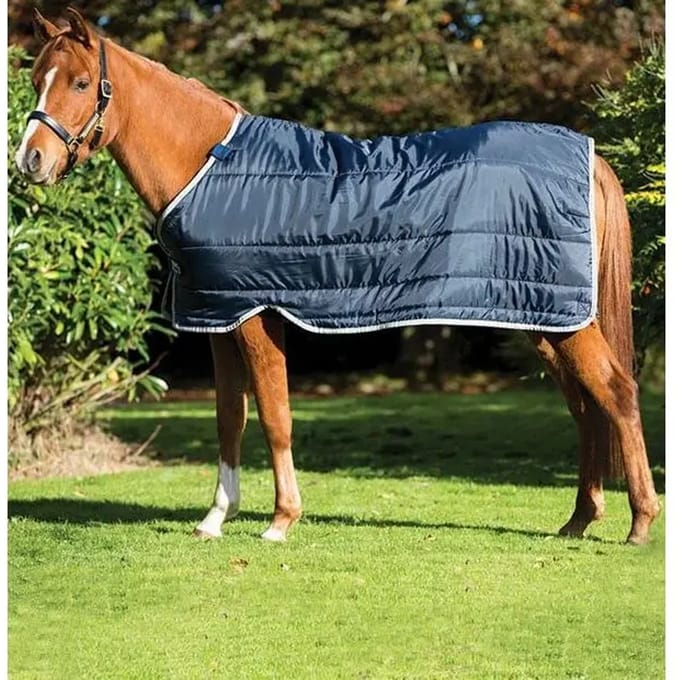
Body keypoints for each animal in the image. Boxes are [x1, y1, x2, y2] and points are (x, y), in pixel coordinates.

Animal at [15, 8, 660, 544]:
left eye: (79, 83)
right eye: (36, 78)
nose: (30, 161)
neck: (209, 166)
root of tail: (589, 157)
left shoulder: (255, 315)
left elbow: (275, 416)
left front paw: (281, 521)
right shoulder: (219, 317)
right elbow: (230, 420)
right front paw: (215, 519)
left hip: (563, 321)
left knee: (618, 394)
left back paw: (639, 524)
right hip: (542, 317)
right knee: (586, 406)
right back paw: (578, 520)